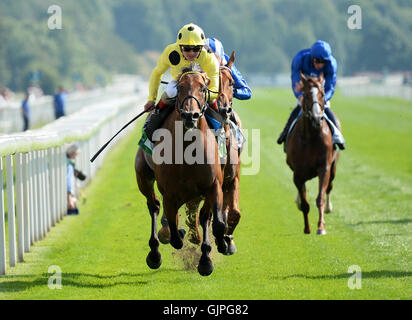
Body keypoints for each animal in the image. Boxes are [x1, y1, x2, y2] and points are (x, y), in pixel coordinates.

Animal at [135, 65, 229, 276]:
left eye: (203, 88)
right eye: (180, 87)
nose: (189, 115)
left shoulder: (213, 186)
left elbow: (215, 223)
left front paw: (212, 254)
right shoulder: (169, 192)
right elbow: (174, 233)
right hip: (144, 178)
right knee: (154, 206)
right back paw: (155, 254)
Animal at [284, 71, 340, 234]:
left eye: (322, 93)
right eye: (306, 94)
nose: (316, 117)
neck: (310, 137)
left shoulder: (324, 168)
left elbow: (320, 197)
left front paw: (321, 227)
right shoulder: (298, 173)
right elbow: (304, 203)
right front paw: (307, 228)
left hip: (333, 167)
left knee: (330, 186)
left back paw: (328, 208)